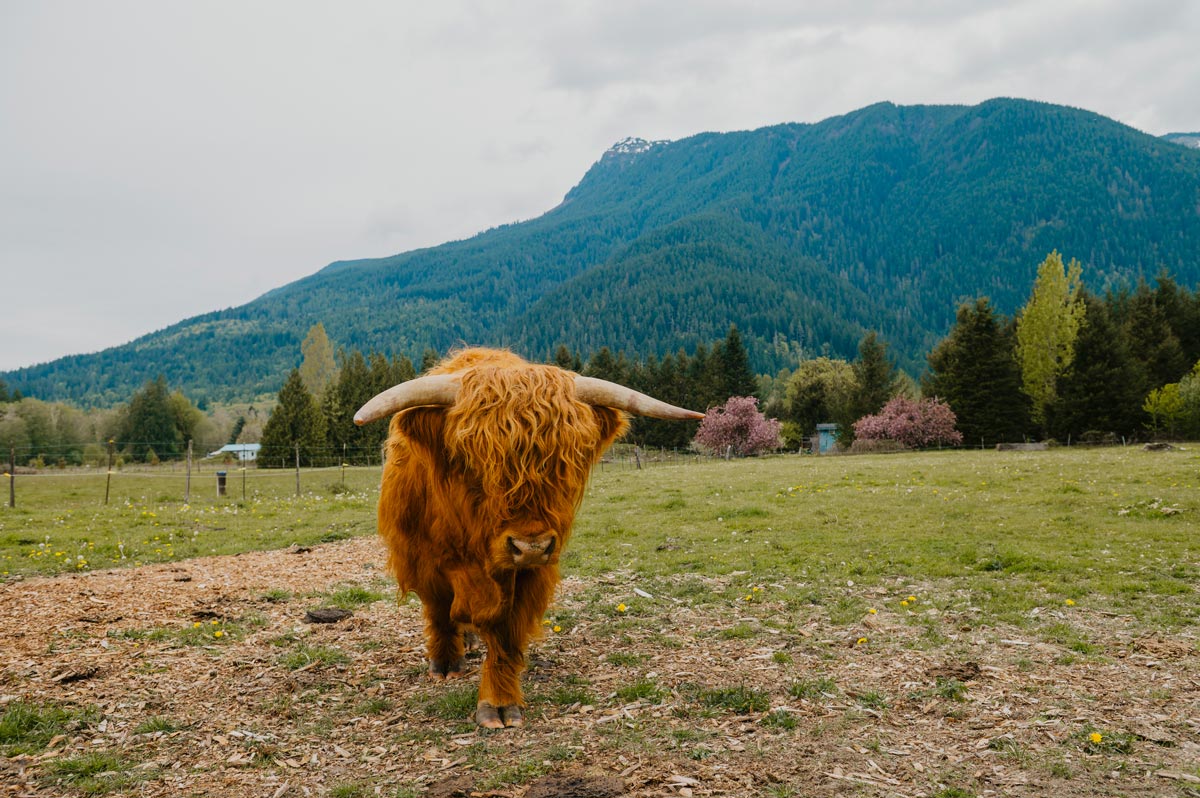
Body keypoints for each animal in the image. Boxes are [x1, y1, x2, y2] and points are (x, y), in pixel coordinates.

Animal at [354, 348, 702, 728]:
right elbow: (439, 610)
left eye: (566, 464)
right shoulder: (422, 559)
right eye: (472, 463)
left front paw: (499, 702)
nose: (531, 546)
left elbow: (506, 635)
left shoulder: (530, 574)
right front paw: (445, 662)